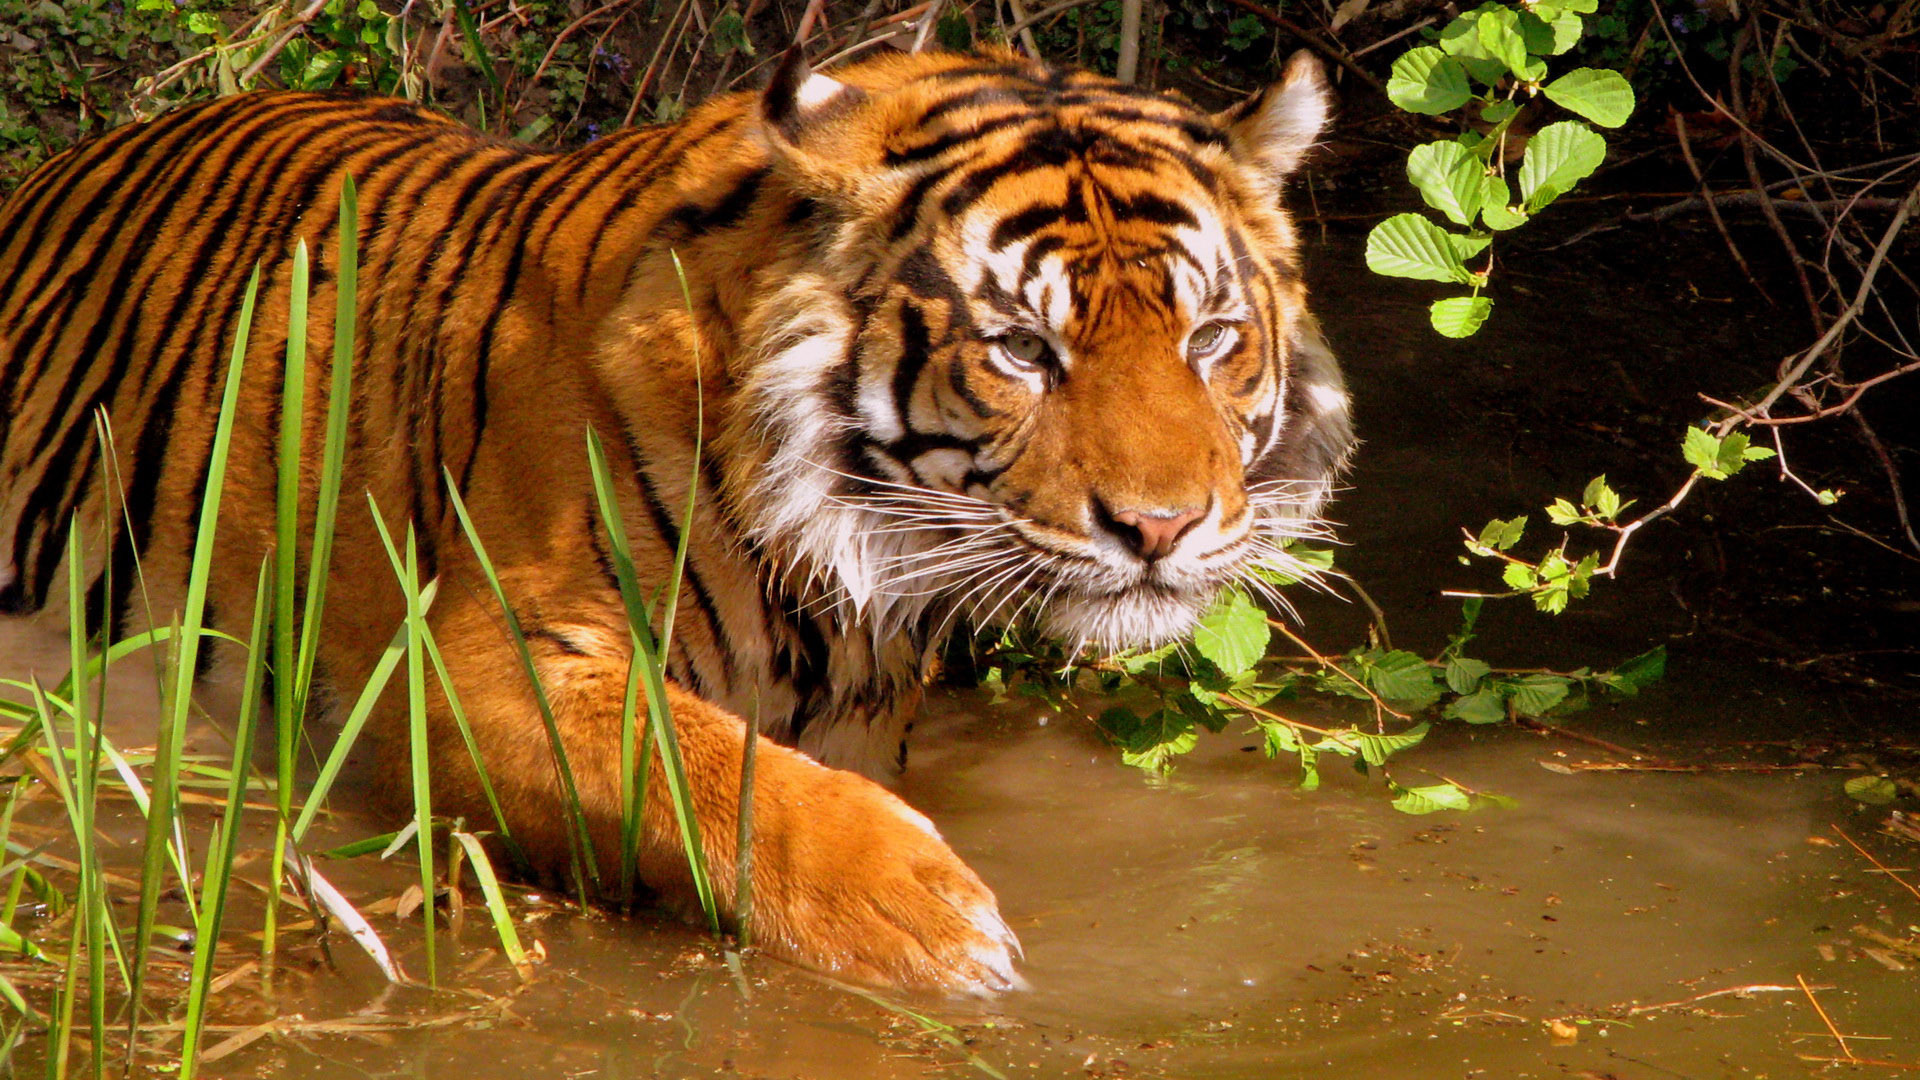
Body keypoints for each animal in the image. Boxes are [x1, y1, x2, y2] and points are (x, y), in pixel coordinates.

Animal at [0, 45, 1353, 993]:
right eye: (1024, 349)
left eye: (1211, 339)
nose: (1162, 528)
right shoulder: (460, 663)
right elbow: (710, 765)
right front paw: (937, 927)